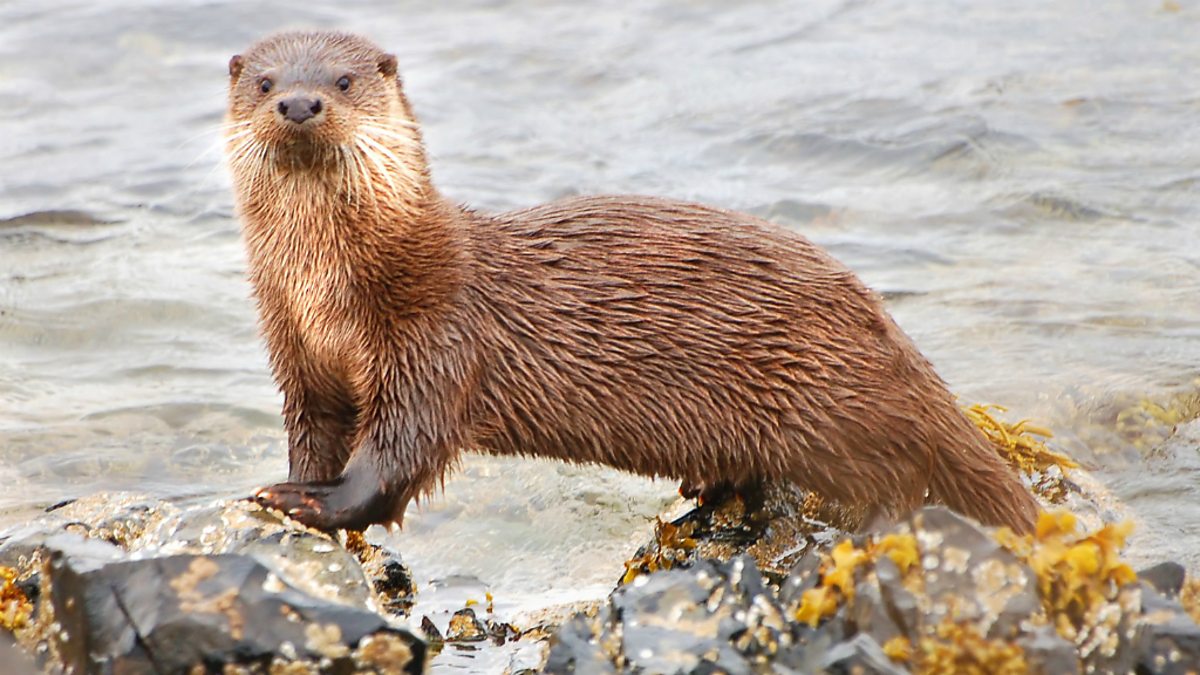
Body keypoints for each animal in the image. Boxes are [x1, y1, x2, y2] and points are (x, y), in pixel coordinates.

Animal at [225, 31, 1041, 533]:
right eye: (265, 82)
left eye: (342, 80)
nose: (299, 102)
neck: (326, 292)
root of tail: (881, 324)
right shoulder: (299, 356)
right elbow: (313, 433)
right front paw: (287, 482)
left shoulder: (433, 342)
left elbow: (397, 456)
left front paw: (310, 503)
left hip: (829, 402)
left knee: (901, 469)